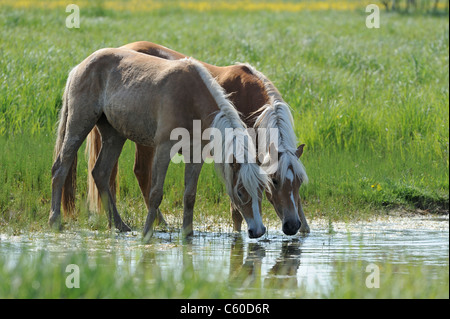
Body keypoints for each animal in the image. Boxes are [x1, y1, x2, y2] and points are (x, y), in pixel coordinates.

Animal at [81, 41, 310, 236]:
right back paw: (159, 222)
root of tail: (124, 48)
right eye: (275, 181)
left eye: (299, 182)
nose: (292, 225)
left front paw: (305, 228)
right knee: (142, 173)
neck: (247, 96)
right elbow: (235, 205)